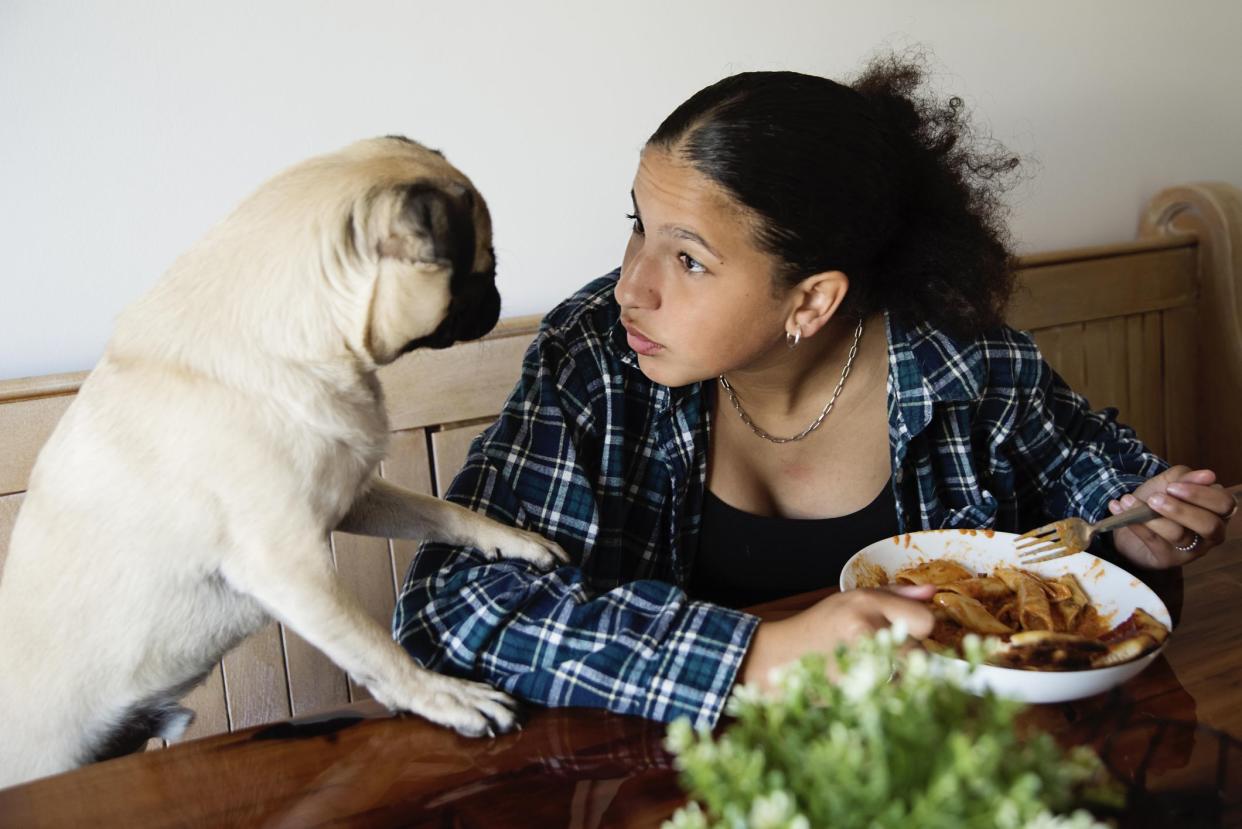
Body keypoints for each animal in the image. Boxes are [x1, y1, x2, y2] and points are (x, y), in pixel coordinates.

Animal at [0, 137, 568, 790]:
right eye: (480, 266)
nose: (496, 295)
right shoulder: (291, 568)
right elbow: (374, 648)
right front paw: (441, 695)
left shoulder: (354, 495)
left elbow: (441, 511)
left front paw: (511, 540)